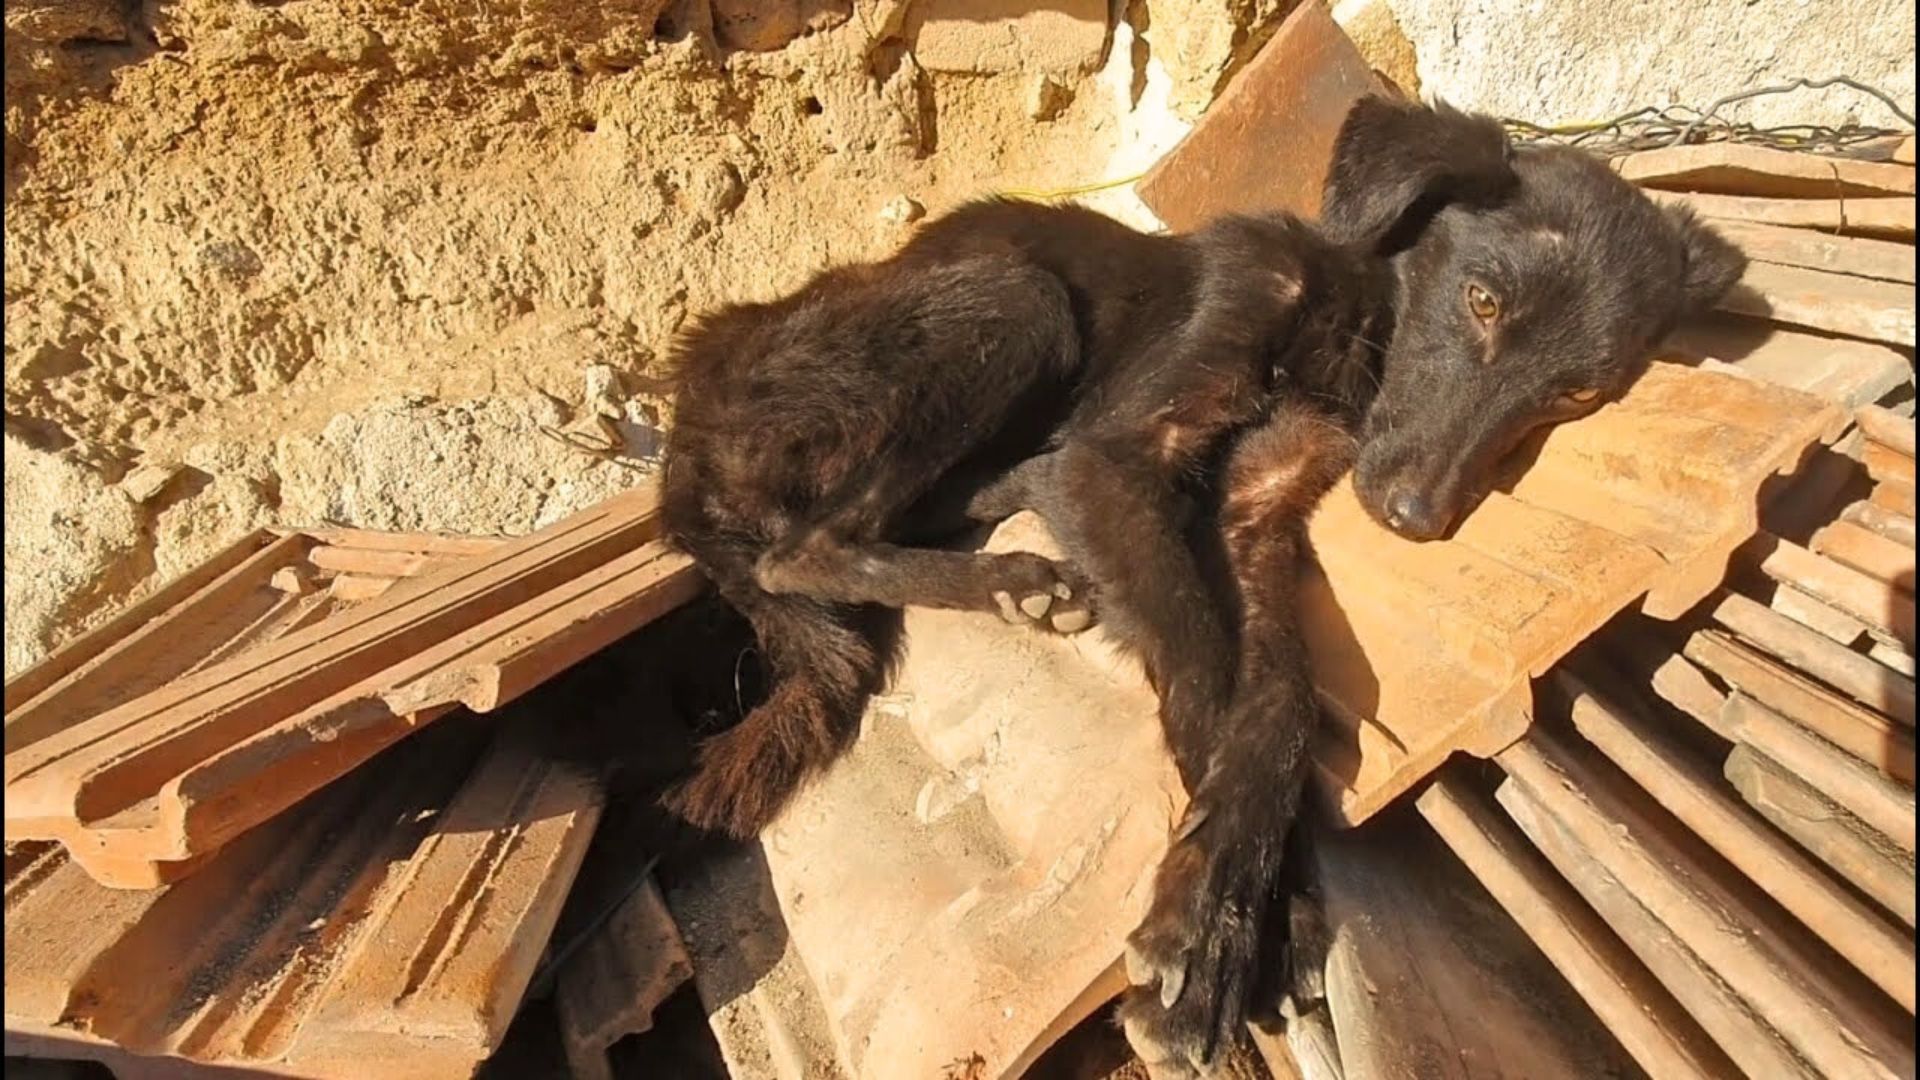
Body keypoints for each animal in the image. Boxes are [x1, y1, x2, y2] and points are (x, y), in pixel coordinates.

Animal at [652, 98, 1751, 1068]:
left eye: (1579, 392)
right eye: (1483, 300)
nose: (1414, 516)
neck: (1342, 324)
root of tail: (683, 437)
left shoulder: (1252, 515)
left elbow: (1282, 704)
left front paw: (1268, 914)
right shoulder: (1120, 456)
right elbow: (1203, 666)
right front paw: (1217, 931)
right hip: (1012, 300)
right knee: (804, 548)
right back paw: (1014, 572)